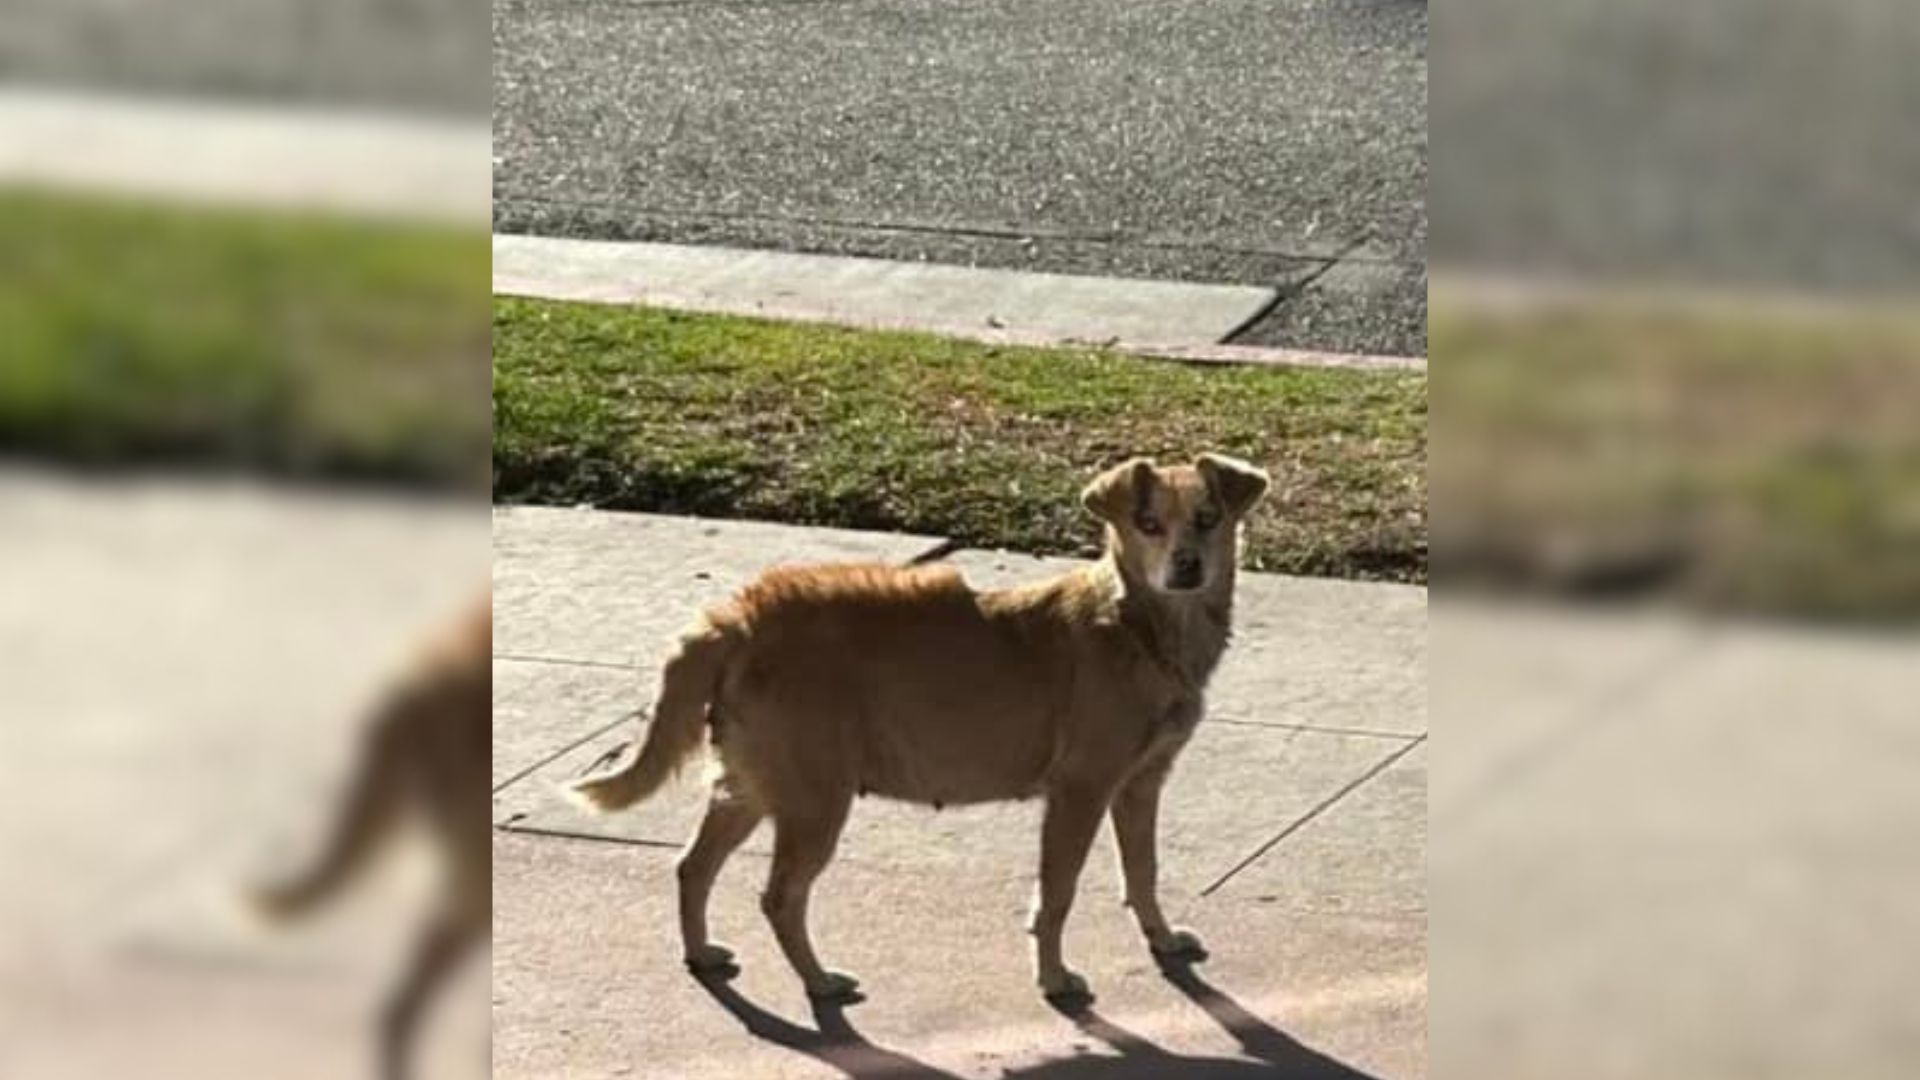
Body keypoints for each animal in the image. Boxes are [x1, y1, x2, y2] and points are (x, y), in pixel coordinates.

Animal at [568, 453, 1267, 999]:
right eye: (1148, 524)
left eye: (1208, 518)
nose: (1186, 566)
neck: (1138, 625)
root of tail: (737, 617)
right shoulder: (1080, 792)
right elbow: (1058, 893)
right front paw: (1052, 977)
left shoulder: (1140, 784)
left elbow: (1142, 871)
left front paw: (1161, 938)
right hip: (814, 800)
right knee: (780, 898)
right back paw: (818, 981)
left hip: (752, 785)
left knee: (692, 867)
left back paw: (701, 952)